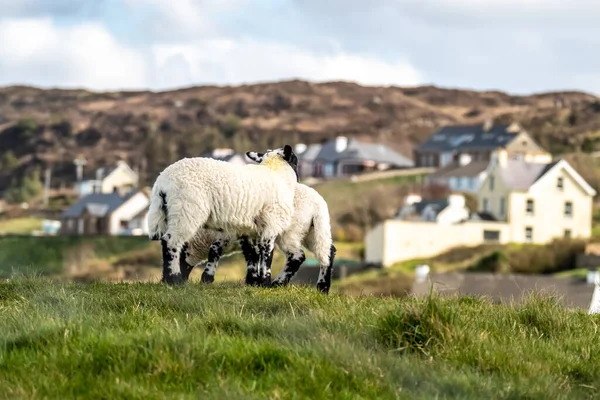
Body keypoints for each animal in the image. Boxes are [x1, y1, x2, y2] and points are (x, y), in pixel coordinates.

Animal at [148, 145, 298, 286]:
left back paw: (166, 279)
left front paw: (254, 282)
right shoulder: (271, 224)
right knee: (171, 241)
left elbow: (254, 256)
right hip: (187, 209)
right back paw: (174, 279)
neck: (277, 173)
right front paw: (265, 283)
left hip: (166, 212)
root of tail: (162, 182)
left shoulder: (250, 230)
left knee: (166, 241)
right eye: (296, 160)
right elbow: (267, 256)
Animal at [178, 165, 338, 290]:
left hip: (290, 231)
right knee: (328, 251)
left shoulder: (229, 235)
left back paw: (277, 284)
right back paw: (323, 288)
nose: (178, 282)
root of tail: (318, 204)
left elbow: (216, 250)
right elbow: (252, 257)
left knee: (297, 256)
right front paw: (253, 281)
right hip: (313, 231)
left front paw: (206, 279)